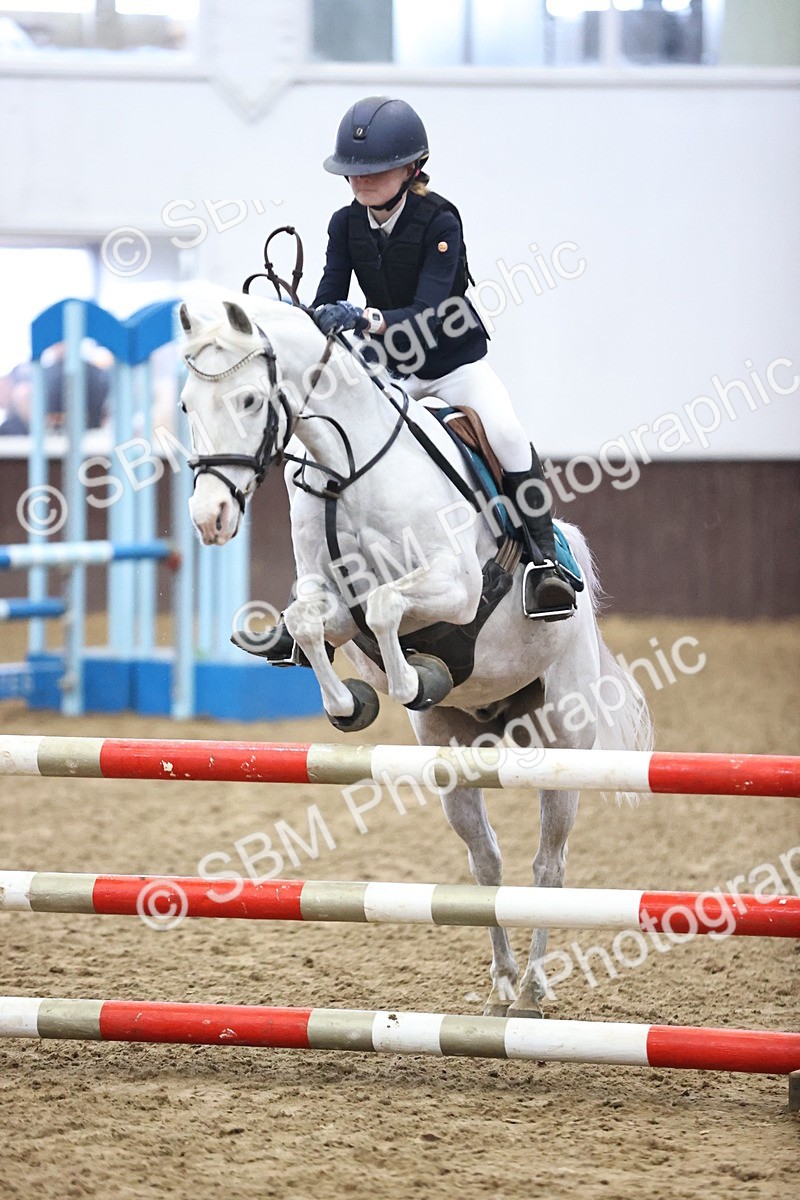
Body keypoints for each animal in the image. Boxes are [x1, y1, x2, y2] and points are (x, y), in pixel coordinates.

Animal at [178, 287, 653, 1018]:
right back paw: (502, 987)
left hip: (563, 741)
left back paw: (534, 990)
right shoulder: (328, 600)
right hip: (452, 753)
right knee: (487, 863)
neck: (344, 474)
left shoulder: (452, 588)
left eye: (251, 400)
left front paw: (414, 678)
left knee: (548, 865)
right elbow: (310, 624)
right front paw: (351, 703)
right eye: (184, 407)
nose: (209, 519)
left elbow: (385, 607)